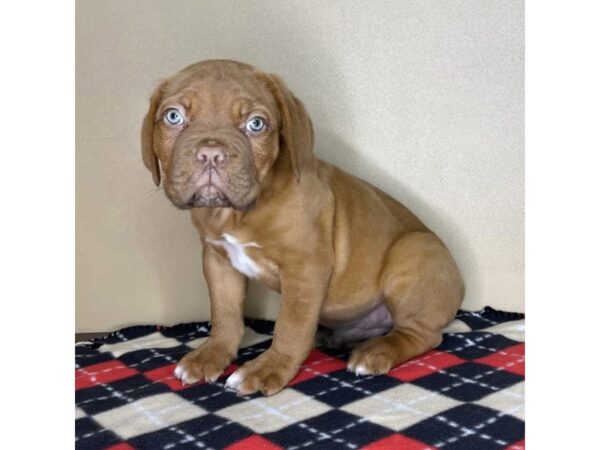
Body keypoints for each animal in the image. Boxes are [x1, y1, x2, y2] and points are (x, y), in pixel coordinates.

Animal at [141, 59, 464, 394]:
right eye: (173, 116)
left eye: (256, 124)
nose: (210, 154)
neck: (235, 214)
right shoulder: (218, 261)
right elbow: (224, 314)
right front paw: (212, 355)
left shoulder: (305, 268)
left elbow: (290, 325)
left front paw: (269, 368)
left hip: (415, 250)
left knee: (422, 333)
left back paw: (376, 352)